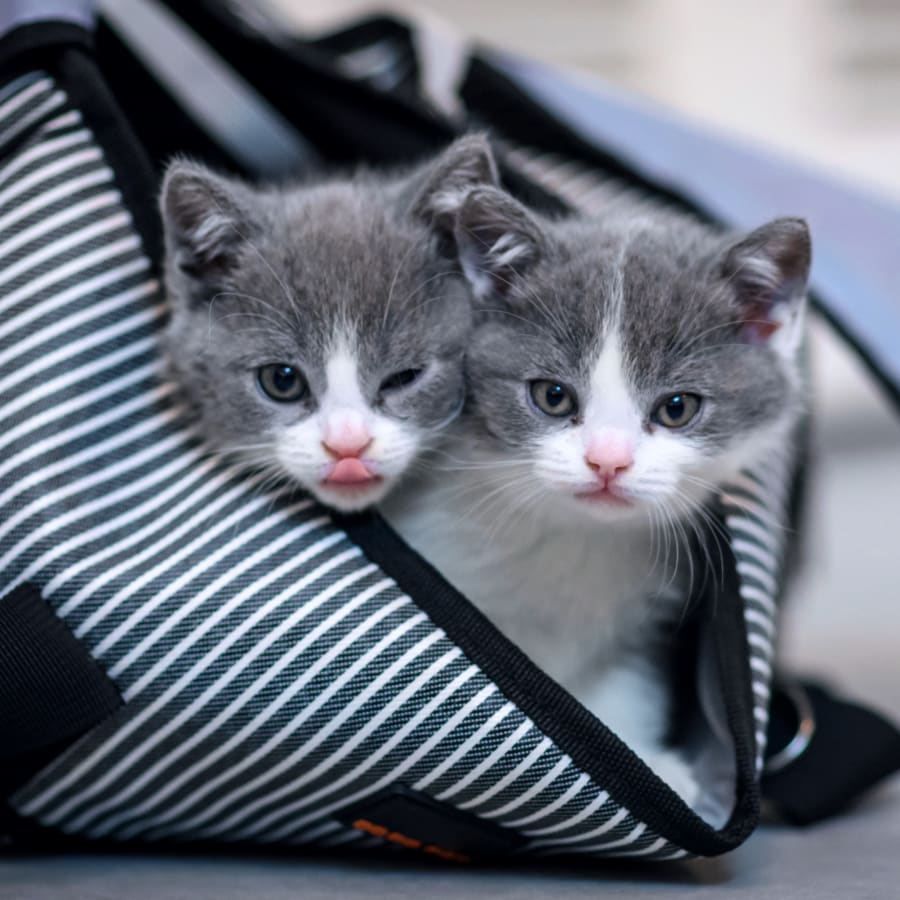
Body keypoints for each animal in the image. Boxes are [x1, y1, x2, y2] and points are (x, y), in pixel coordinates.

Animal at [384, 181, 812, 800]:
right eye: (553, 396)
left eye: (677, 408)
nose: (607, 460)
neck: (576, 539)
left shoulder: (639, 630)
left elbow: (624, 693)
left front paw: (652, 767)